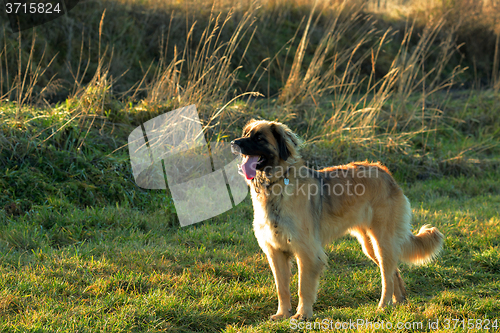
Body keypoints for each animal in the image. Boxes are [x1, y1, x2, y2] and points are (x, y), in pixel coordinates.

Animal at [231, 119, 446, 320]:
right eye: (246, 134)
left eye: (259, 138)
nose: (234, 143)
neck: (275, 185)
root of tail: (385, 172)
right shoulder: (276, 252)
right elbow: (282, 288)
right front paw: (283, 314)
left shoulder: (307, 252)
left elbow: (303, 287)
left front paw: (302, 314)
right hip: (371, 245)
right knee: (394, 272)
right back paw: (399, 301)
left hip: (382, 242)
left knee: (387, 276)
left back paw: (383, 306)